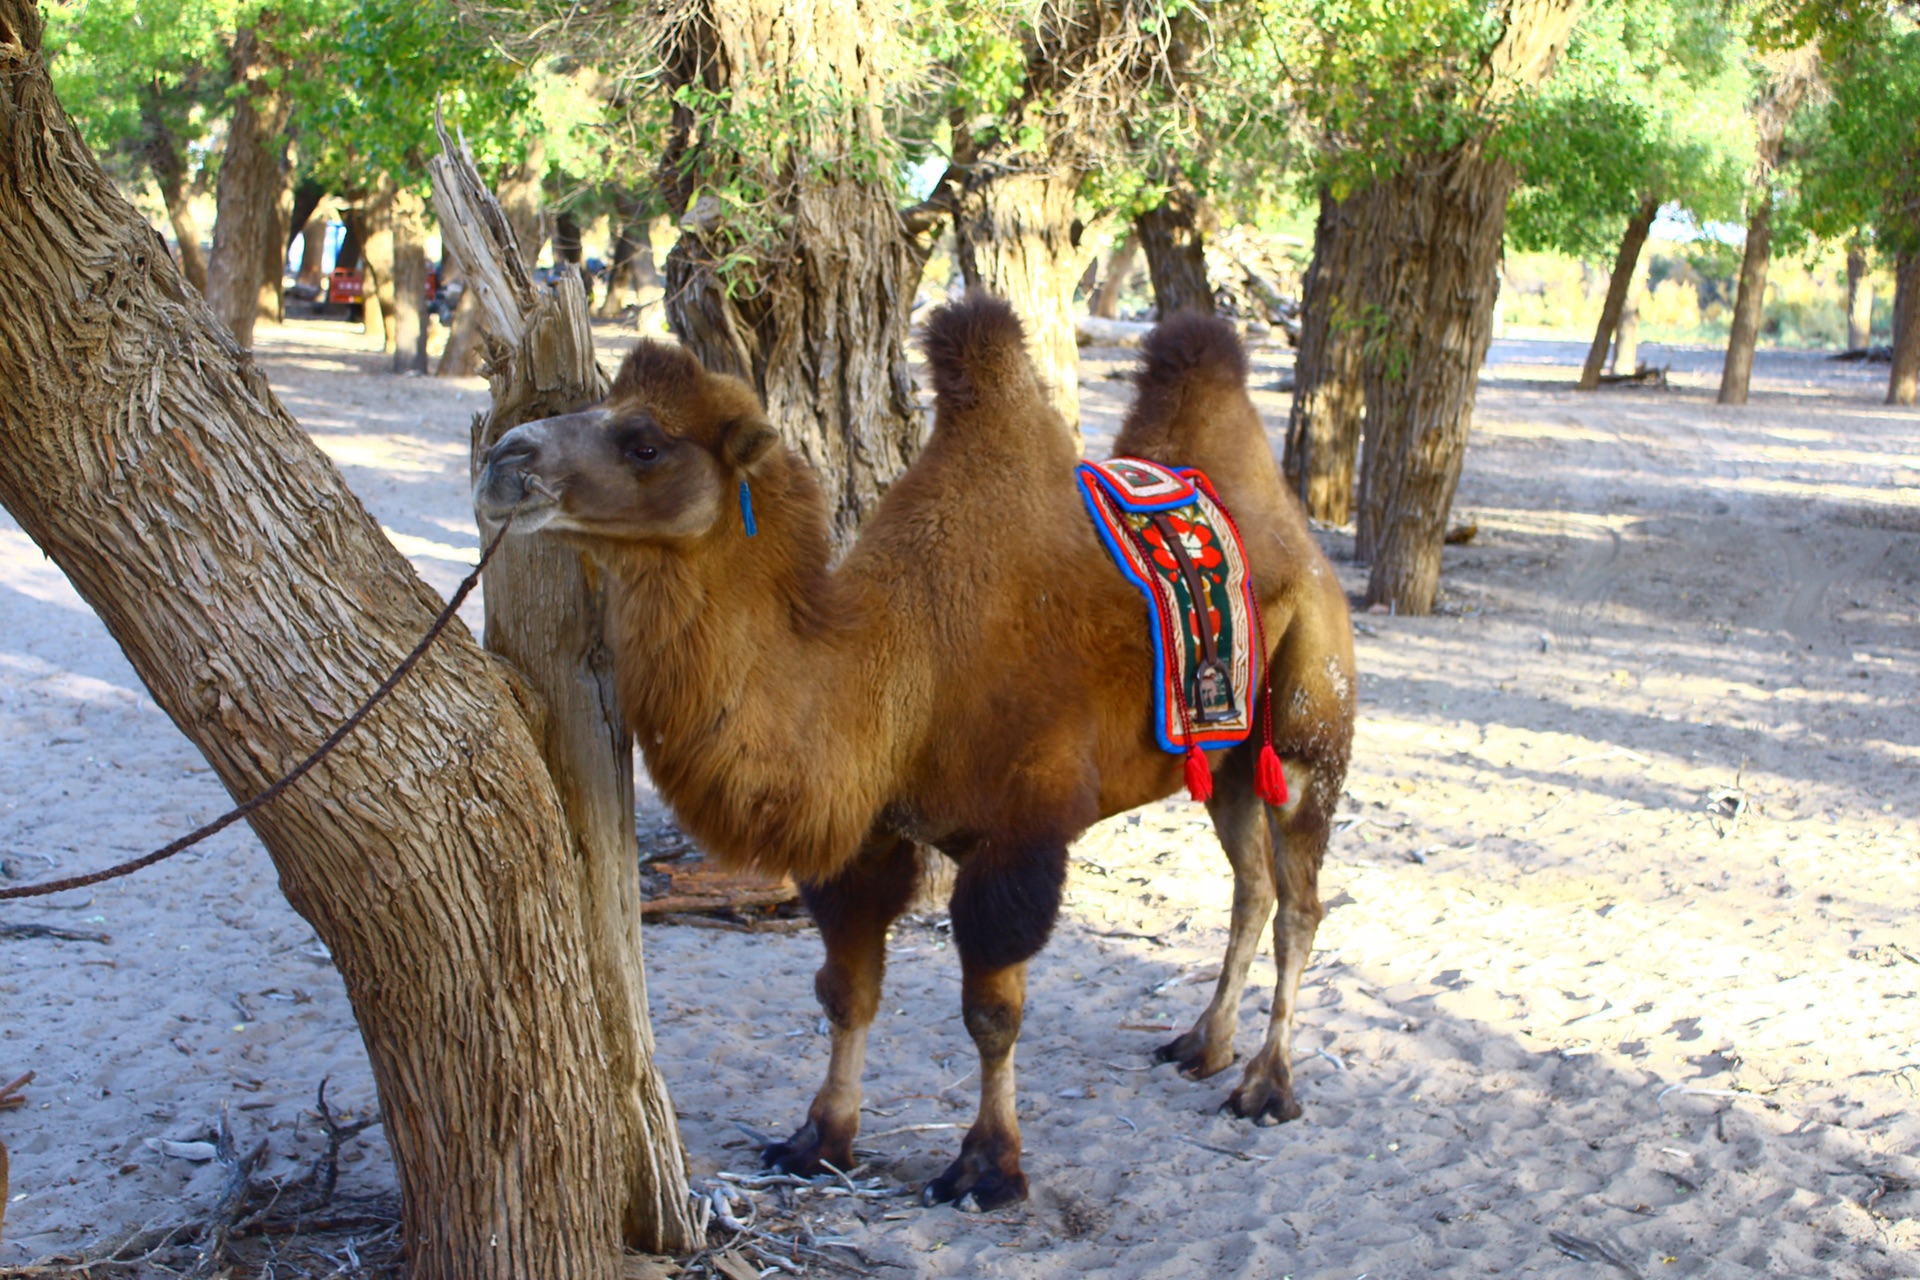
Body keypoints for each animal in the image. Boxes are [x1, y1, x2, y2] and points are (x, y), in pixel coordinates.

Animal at [472, 295, 1359, 1205]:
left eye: (644, 441)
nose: (504, 458)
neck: (902, 669)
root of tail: (1302, 540)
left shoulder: (1019, 835)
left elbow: (992, 1014)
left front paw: (987, 1166)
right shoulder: (865, 834)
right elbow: (846, 991)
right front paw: (818, 1138)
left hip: (1309, 722)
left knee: (1301, 902)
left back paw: (1267, 1085)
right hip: (1227, 762)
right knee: (1252, 887)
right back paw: (1203, 1045)